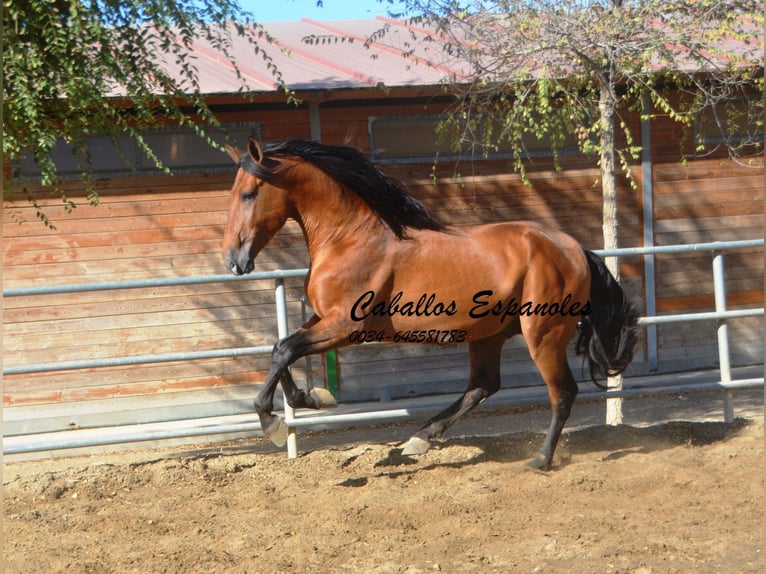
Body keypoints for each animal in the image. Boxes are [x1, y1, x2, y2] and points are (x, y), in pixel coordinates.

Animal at [224, 138, 640, 472]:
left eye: (248, 194)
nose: (233, 260)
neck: (349, 238)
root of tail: (574, 249)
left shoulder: (346, 327)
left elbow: (286, 350)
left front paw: (273, 424)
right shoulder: (324, 319)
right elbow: (281, 348)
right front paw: (312, 398)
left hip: (543, 334)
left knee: (562, 393)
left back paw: (540, 460)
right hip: (488, 333)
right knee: (482, 386)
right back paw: (420, 438)